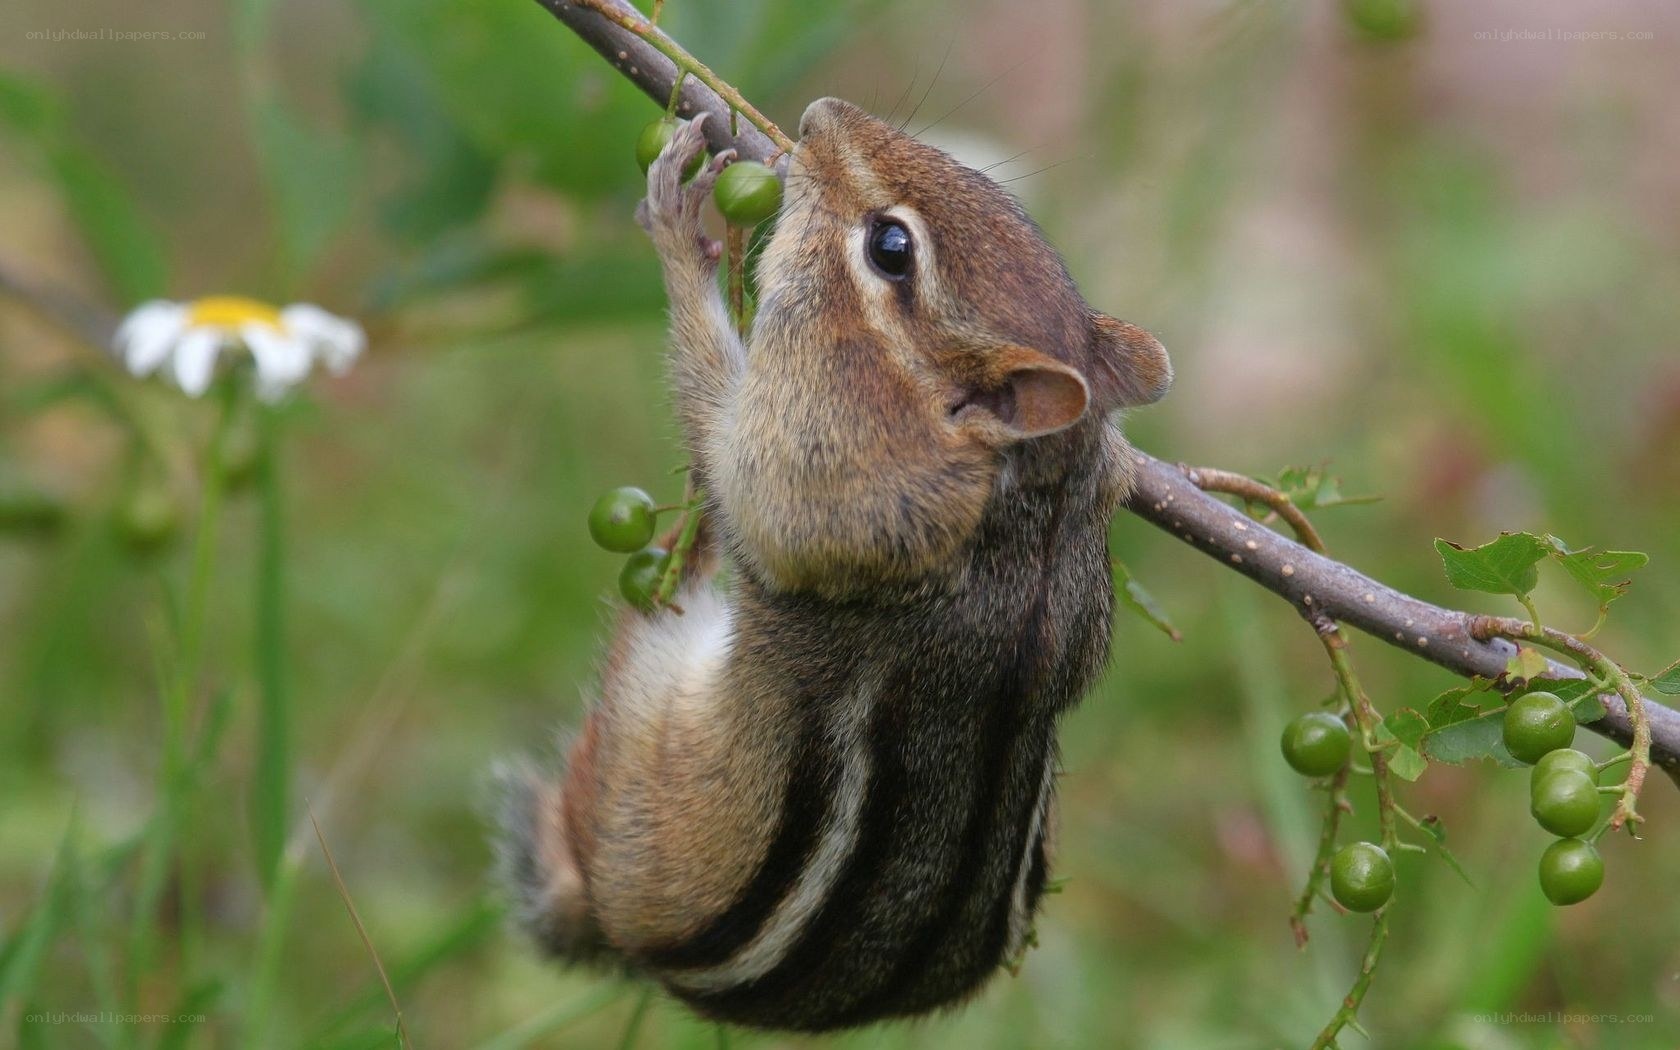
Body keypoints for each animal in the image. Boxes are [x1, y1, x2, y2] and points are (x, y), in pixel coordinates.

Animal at [499, 97, 1172, 1033]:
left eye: (891, 248)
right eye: (986, 183)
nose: (822, 115)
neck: (1028, 498)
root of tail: (619, 936)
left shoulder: (819, 474)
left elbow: (726, 446)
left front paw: (679, 230)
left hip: (641, 742)